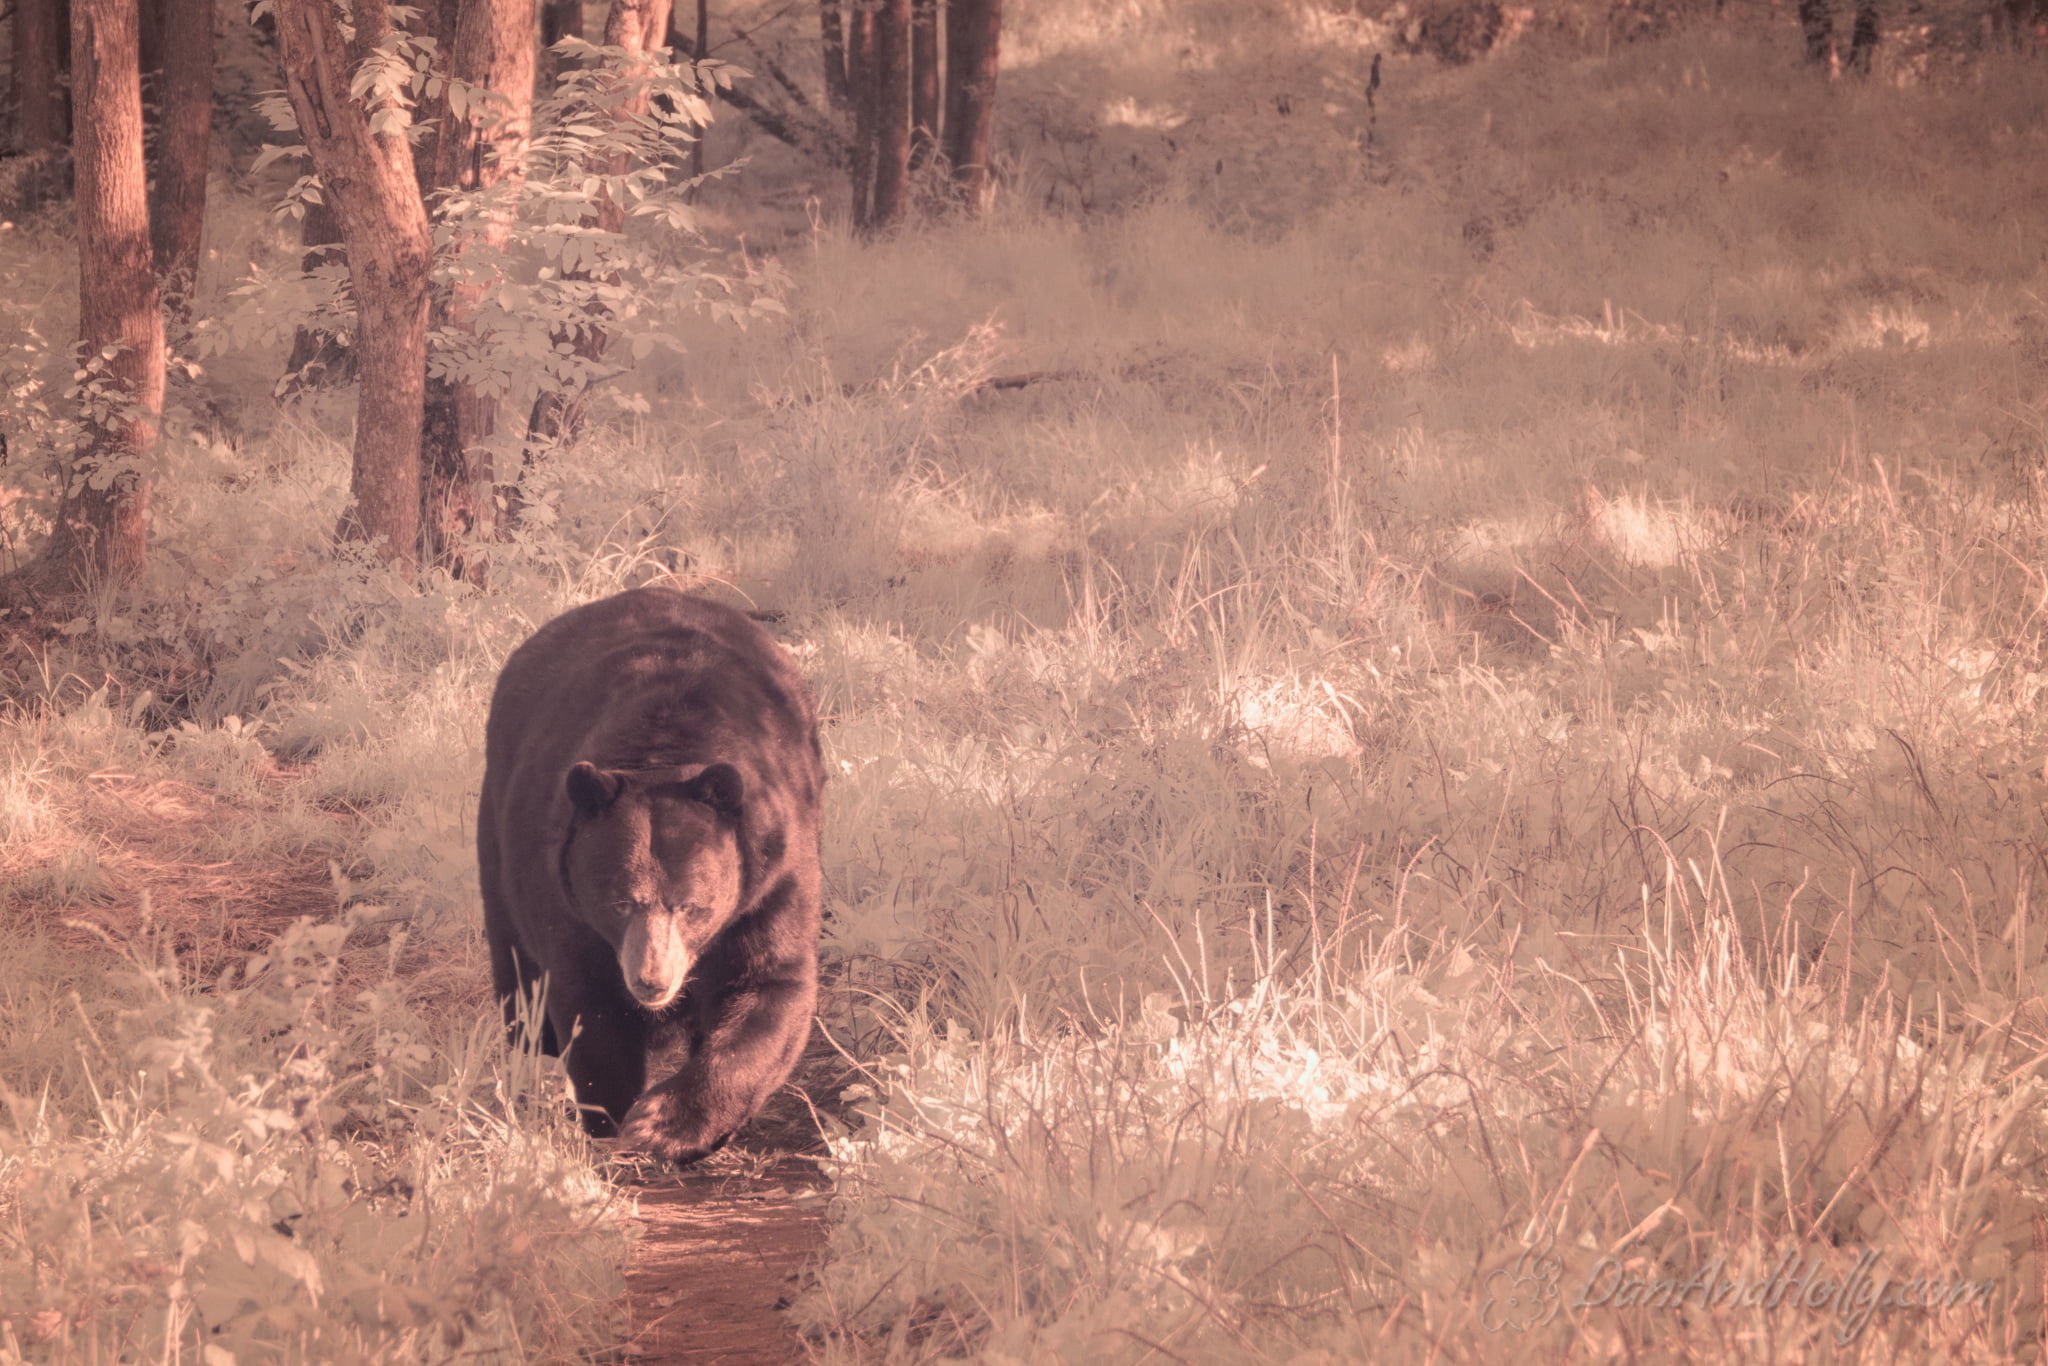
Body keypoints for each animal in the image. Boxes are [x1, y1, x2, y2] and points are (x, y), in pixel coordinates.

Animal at [477, 589, 823, 1163]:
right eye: (619, 903)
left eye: (692, 905)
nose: (651, 981)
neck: (664, 755)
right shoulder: (564, 895)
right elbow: (589, 1003)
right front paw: (615, 1119)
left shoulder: (771, 876)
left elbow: (770, 986)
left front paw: (663, 1123)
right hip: (498, 839)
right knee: (516, 968)